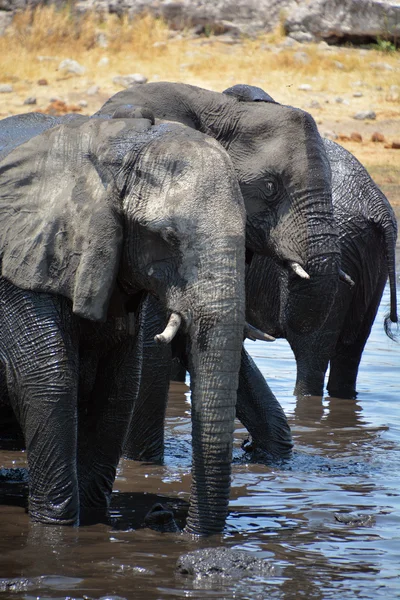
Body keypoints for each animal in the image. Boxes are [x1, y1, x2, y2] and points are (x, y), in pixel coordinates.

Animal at [0, 108, 250, 536]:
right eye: (167, 237)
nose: (169, 518)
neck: (118, 148)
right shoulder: (22, 268)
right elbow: (48, 383)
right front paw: (57, 531)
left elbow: (118, 389)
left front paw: (94, 520)